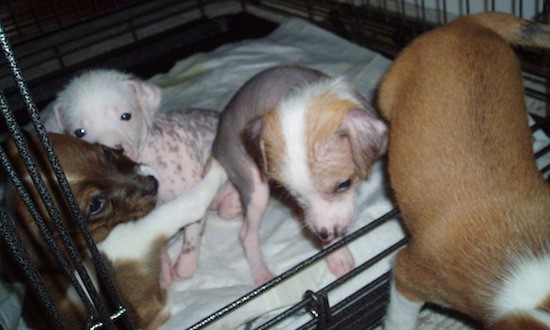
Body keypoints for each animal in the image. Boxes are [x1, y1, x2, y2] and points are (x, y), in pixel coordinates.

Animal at [1, 133, 227, 328]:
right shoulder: (139, 234)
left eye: (106, 153)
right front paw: (219, 164)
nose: (153, 183)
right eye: (95, 205)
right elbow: (192, 201)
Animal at [43, 69, 242, 284]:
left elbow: (192, 230)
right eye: (79, 132)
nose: (114, 147)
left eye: (126, 116)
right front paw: (162, 267)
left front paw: (186, 264)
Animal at [213, 65, 390, 284]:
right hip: (253, 182)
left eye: (344, 184)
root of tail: (217, 141)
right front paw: (337, 254)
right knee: (246, 234)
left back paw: (230, 203)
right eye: (294, 193)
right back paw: (262, 273)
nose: (326, 235)